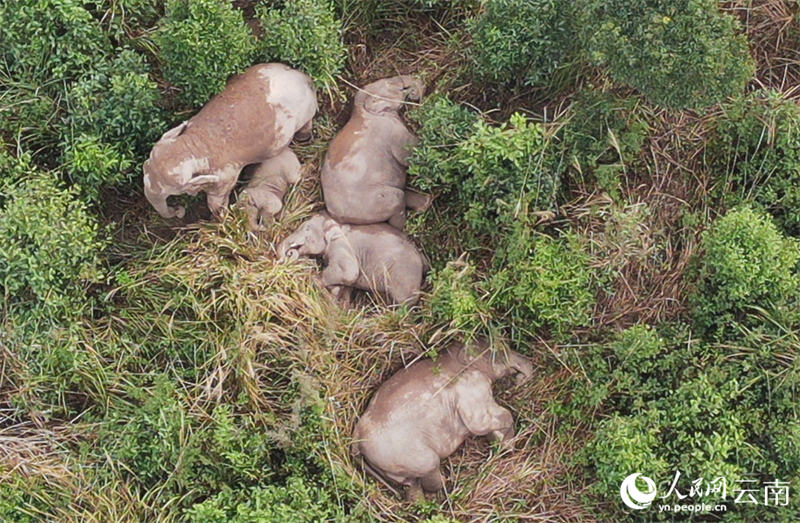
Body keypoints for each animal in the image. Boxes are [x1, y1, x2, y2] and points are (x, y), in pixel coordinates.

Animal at [142, 63, 318, 219]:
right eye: (145, 166)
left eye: (172, 191)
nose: (179, 211)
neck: (193, 146)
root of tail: (303, 77)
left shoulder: (225, 176)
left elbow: (215, 202)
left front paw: (222, 218)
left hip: (305, 112)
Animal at [278, 211, 424, 304]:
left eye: (307, 228)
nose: (289, 253)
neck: (337, 224)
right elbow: (346, 287)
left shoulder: (342, 247)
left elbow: (349, 272)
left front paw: (318, 282)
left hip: (405, 278)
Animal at [318, 74, 432, 230]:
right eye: (402, 88)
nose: (421, 84)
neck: (362, 111)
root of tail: (337, 216)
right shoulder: (390, 131)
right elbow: (408, 156)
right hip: (373, 202)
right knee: (397, 199)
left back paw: (427, 201)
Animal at [350, 340, 532, 500]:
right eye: (499, 349)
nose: (522, 375)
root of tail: (356, 436)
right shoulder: (471, 386)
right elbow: (487, 422)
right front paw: (507, 446)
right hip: (404, 455)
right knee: (430, 469)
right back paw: (446, 485)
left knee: (411, 485)